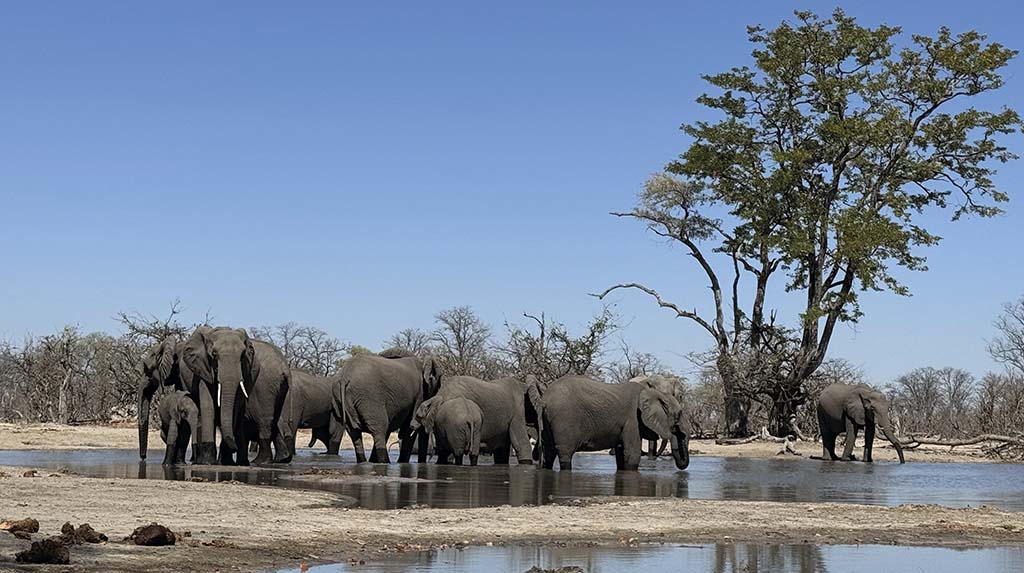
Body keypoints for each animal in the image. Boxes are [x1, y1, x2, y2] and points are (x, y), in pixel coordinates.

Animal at [180, 327, 290, 466]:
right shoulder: (203, 368)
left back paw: (260, 461)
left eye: (242, 355)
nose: (234, 447)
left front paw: (223, 461)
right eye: (214, 354)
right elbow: (208, 406)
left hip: (265, 387)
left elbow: (235, 407)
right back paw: (279, 459)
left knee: (265, 420)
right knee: (274, 419)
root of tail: (285, 367)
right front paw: (209, 463)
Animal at [536, 374, 688, 472]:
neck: (654, 393)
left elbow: (622, 454)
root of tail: (544, 399)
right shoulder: (633, 418)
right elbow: (632, 455)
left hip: (547, 421)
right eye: (678, 415)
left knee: (548, 453)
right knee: (565, 455)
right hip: (563, 420)